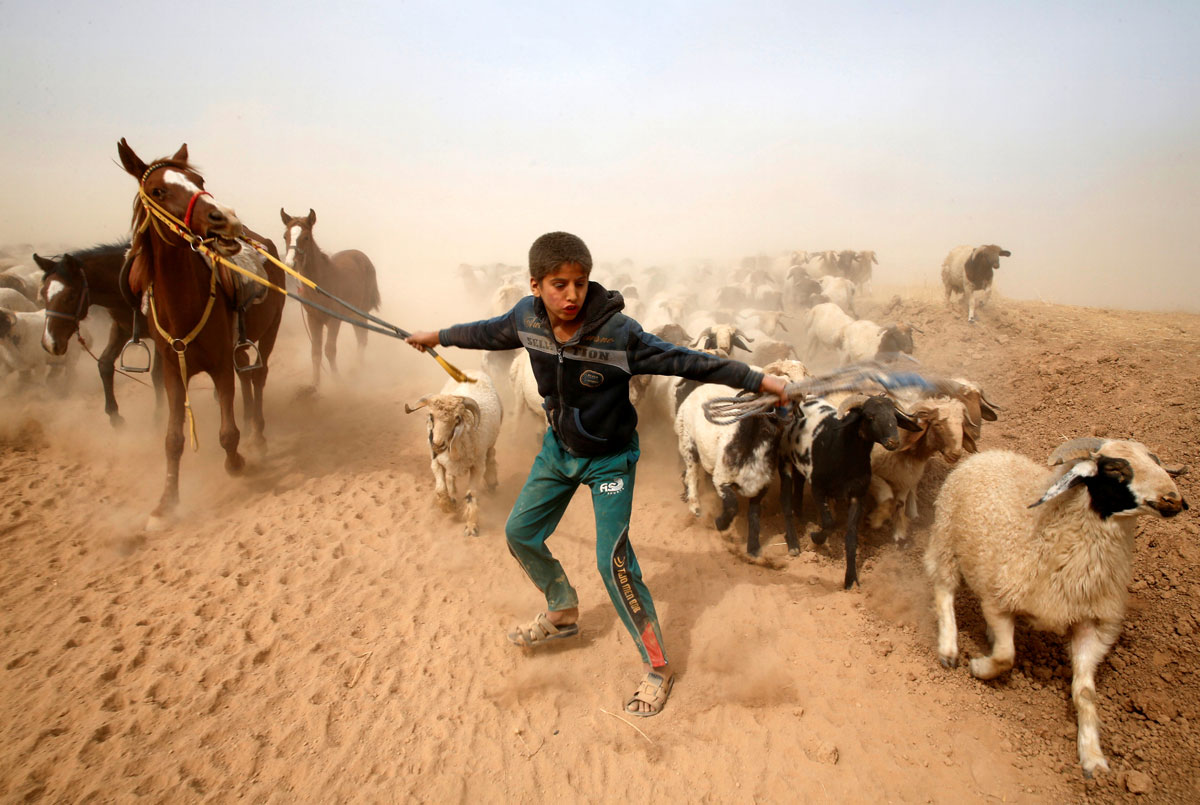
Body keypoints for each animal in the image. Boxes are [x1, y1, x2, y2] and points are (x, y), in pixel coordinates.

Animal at [35, 245, 166, 424]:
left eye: (71, 295)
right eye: (43, 293)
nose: (49, 343)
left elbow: (158, 376)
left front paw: (159, 417)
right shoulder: (122, 328)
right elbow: (104, 364)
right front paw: (115, 416)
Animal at [400, 369, 499, 535]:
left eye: (457, 418)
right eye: (431, 416)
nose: (437, 444)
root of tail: (472, 370)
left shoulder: (477, 466)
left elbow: (471, 495)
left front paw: (471, 526)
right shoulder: (436, 462)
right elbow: (441, 489)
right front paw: (448, 506)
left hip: (491, 442)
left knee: (491, 456)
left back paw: (492, 482)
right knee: (450, 477)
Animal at [777, 395, 916, 585]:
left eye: (895, 417)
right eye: (869, 416)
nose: (893, 441)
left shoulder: (857, 496)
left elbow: (851, 538)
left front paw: (851, 578)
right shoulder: (818, 488)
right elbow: (829, 523)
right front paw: (815, 538)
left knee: (798, 486)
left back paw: (801, 518)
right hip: (784, 460)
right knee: (785, 501)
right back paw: (793, 543)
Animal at [864, 395, 964, 542]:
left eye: (962, 424)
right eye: (937, 424)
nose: (955, 454)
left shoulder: (905, 480)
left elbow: (899, 503)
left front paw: (899, 532)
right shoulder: (873, 476)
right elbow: (887, 496)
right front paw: (876, 519)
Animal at [921, 436, 1185, 777]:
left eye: (1155, 461)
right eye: (1115, 469)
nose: (1173, 499)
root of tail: (991, 454)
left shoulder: (1091, 623)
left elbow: (1085, 693)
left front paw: (1093, 758)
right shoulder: (998, 599)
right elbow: (1006, 657)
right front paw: (979, 667)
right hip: (946, 538)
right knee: (944, 590)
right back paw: (949, 648)